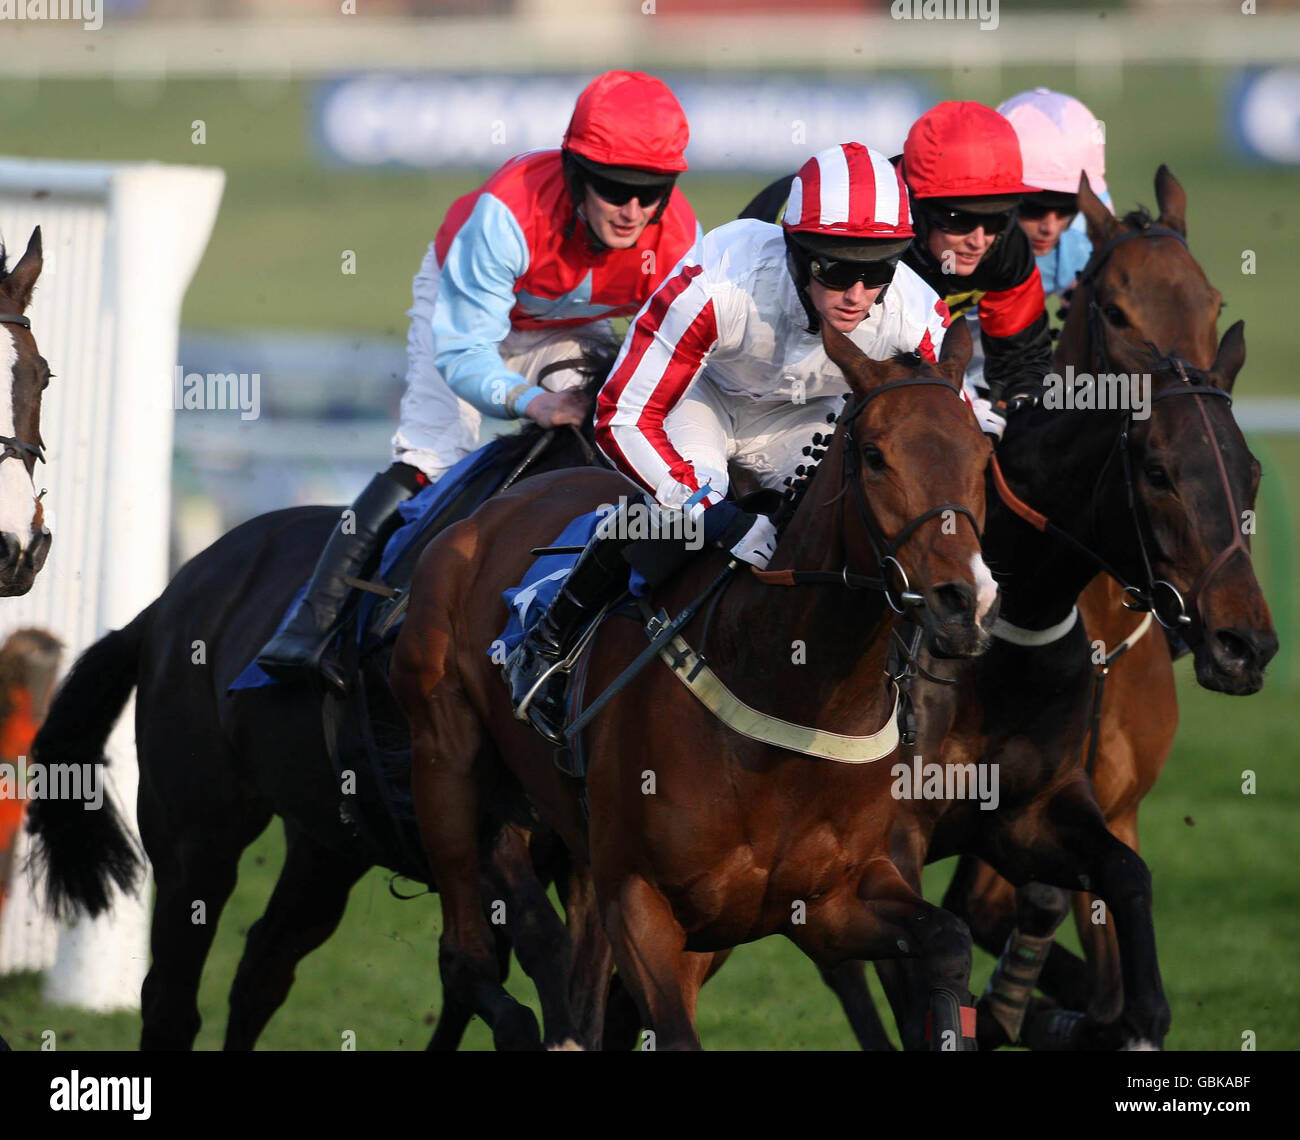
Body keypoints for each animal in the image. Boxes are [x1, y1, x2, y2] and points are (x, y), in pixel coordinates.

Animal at [390, 318, 998, 1050]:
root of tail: (488, 513)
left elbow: (949, 941)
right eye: (877, 456)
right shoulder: (643, 902)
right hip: (445, 768)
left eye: (982, 455)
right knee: (467, 955)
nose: (962, 604)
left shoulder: (828, 902)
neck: (789, 688)